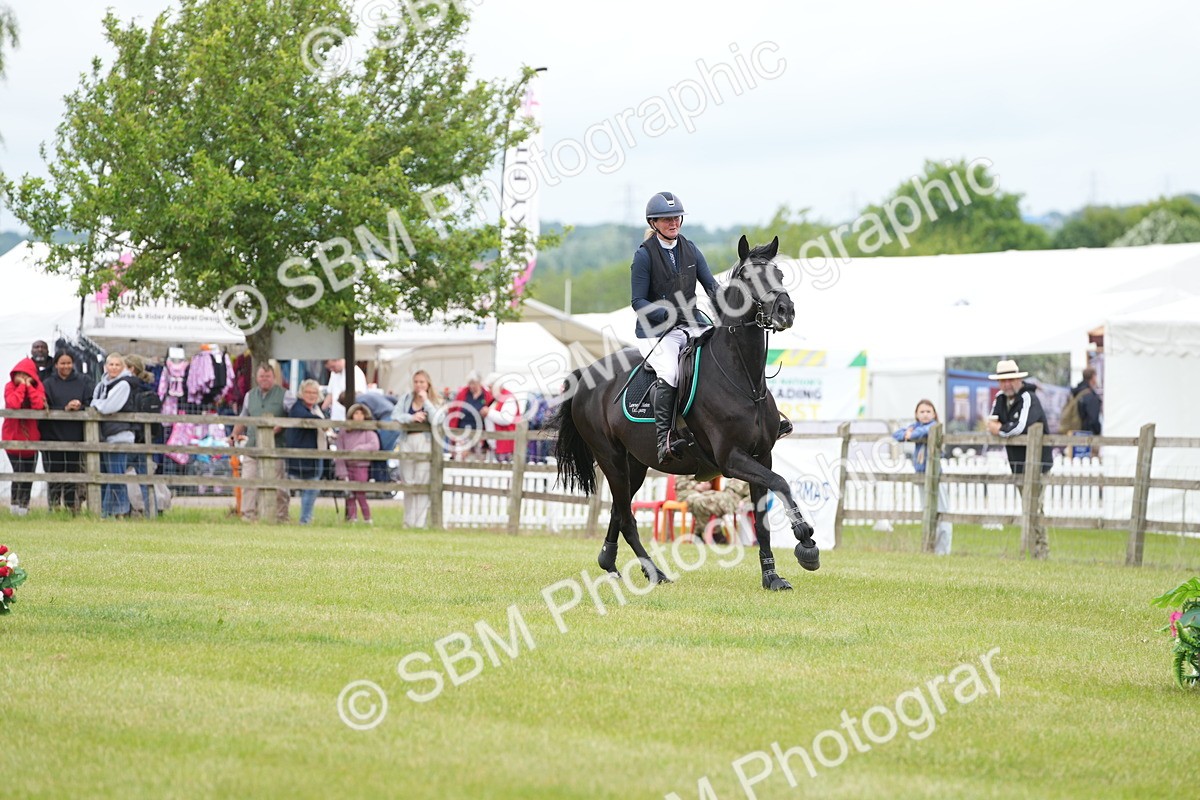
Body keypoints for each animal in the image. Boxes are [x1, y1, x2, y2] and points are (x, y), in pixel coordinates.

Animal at [552, 235, 819, 591]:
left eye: (780, 274)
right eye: (749, 278)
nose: (785, 311)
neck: (743, 380)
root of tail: (586, 377)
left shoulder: (762, 456)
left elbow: (763, 517)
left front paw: (772, 576)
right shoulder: (731, 459)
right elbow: (782, 483)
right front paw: (805, 539)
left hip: (635, 464)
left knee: (619, 512)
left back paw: (609, 562)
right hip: (611, 459)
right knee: (627, 517)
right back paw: (654, 572)